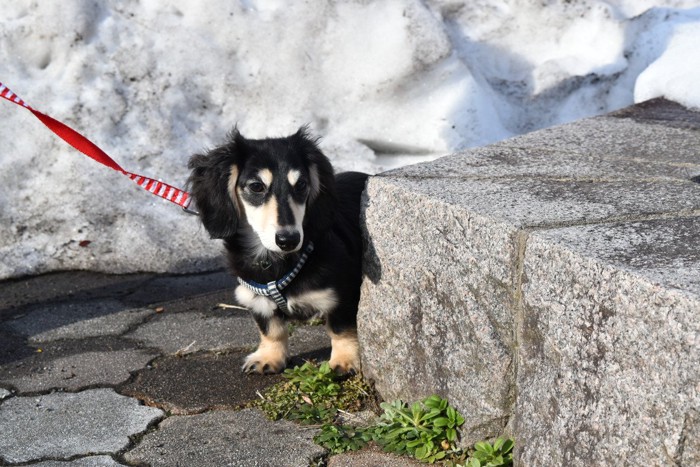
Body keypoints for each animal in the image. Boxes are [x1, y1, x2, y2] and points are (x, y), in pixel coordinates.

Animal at [189, 128, 370, 376]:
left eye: (301, 184)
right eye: (256, 186)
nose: (289, 240)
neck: (277, 262)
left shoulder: (343, 293)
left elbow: (340, 328)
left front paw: (345, 360)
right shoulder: (255, 295)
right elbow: (271, 329)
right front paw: (269, 357)